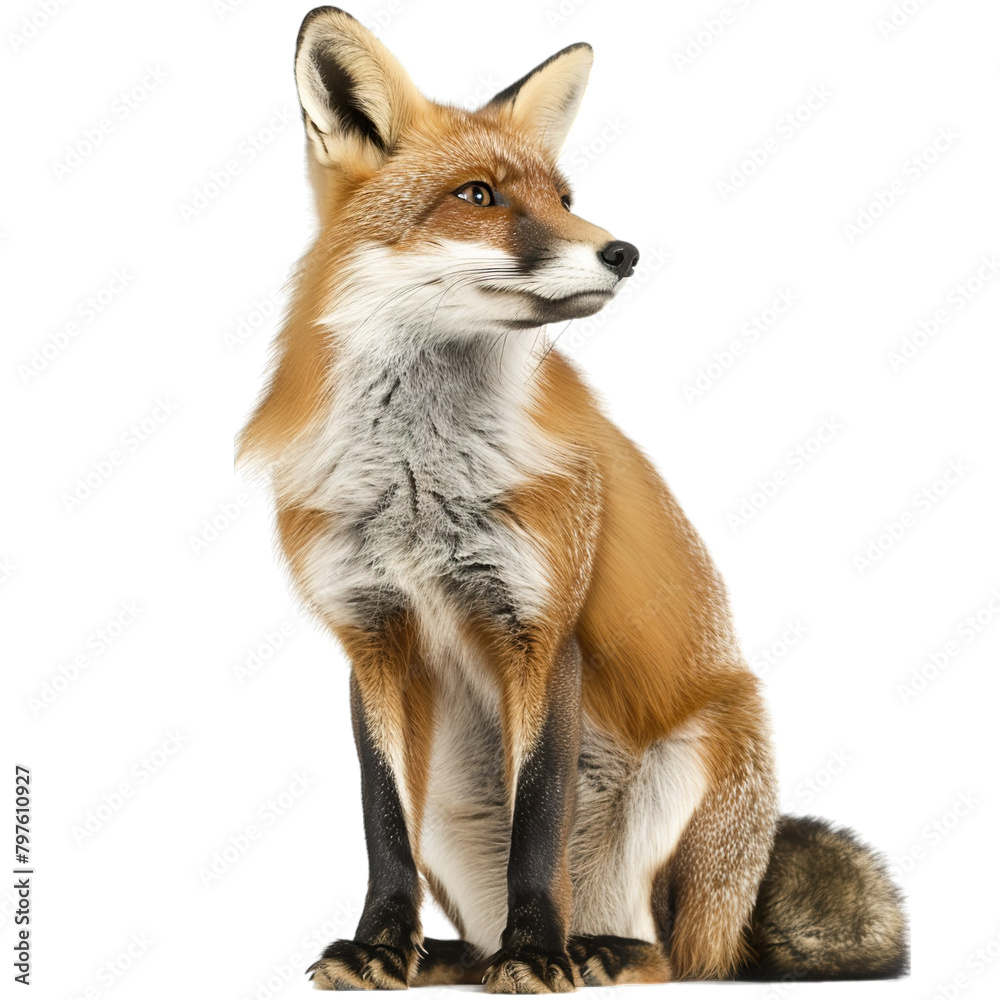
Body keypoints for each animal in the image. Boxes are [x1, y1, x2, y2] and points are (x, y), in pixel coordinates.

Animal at [237, 7, 909, 992]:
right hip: (451, 803)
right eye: (478, 195)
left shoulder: (544, 628)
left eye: (563, 195)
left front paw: (536, 952)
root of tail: (741, 917)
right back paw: (448, 957)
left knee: (679, 956)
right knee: (478, 929)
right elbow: (381, 823)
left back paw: (589, 949)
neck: (419, 484)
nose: (622, 252)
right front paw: (380, 945)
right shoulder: (371, 636)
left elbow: (539, 819)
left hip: (700, 765)